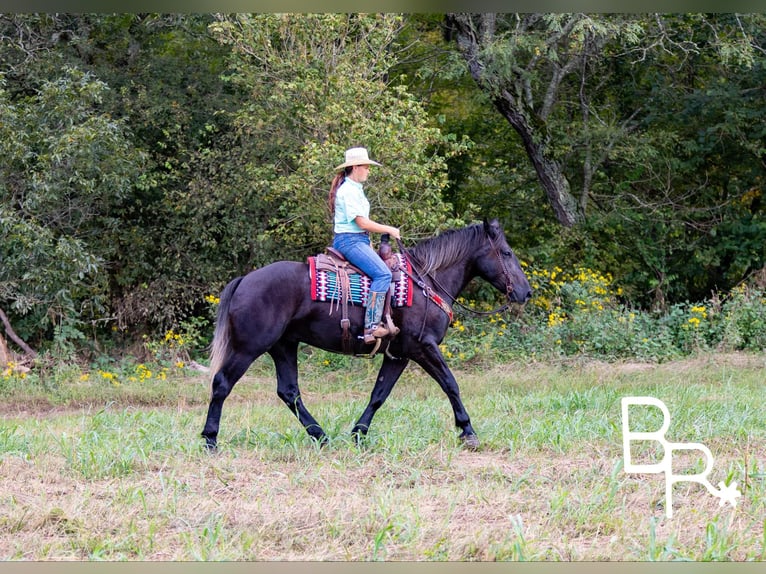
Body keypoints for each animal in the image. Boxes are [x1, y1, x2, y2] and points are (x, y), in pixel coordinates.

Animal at [201, 218, 532, 450]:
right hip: (249, 347)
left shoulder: (399, 354)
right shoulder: (423, 347)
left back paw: (321, 436)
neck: (427, 282)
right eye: (506, 252)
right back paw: (210, 440)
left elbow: (379, 394)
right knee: (222, 383)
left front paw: (358, 434)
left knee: (289, 392)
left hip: (283, 346)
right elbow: (451, 384)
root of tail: (245, 280)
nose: (526, 292)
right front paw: (468, 431)